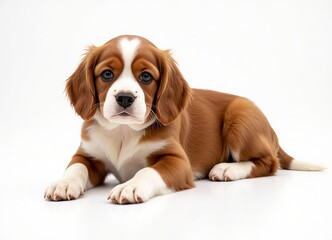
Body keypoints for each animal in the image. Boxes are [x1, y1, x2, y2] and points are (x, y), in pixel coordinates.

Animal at [44, 35, 324, 204]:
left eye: (146, 77)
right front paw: (63, 183)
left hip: (240, 116)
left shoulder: (177, 161)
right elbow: (76, 168)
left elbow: (147, 170)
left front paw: (130, 187)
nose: (124, 98)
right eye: (107, 74)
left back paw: (227, 169)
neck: (124, 132)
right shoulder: (88, 154)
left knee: (269, 163)